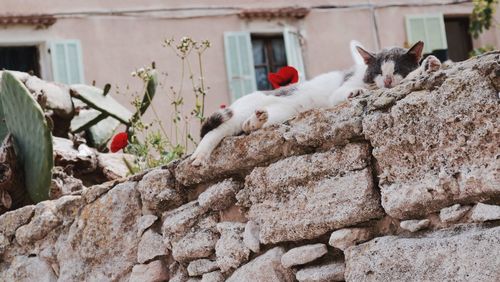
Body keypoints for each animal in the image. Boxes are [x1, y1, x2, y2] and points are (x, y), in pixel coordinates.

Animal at [191, 39, 442, 165]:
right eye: (379, 72)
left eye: (396, 70)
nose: (388, 80)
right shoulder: (340, 89)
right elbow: (347, 91)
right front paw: (357, 92)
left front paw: (429, 65)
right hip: (240, 111)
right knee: (217, 130)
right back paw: (200, 155)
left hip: (284, 110)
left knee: (250, 124)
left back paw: (256, 121)